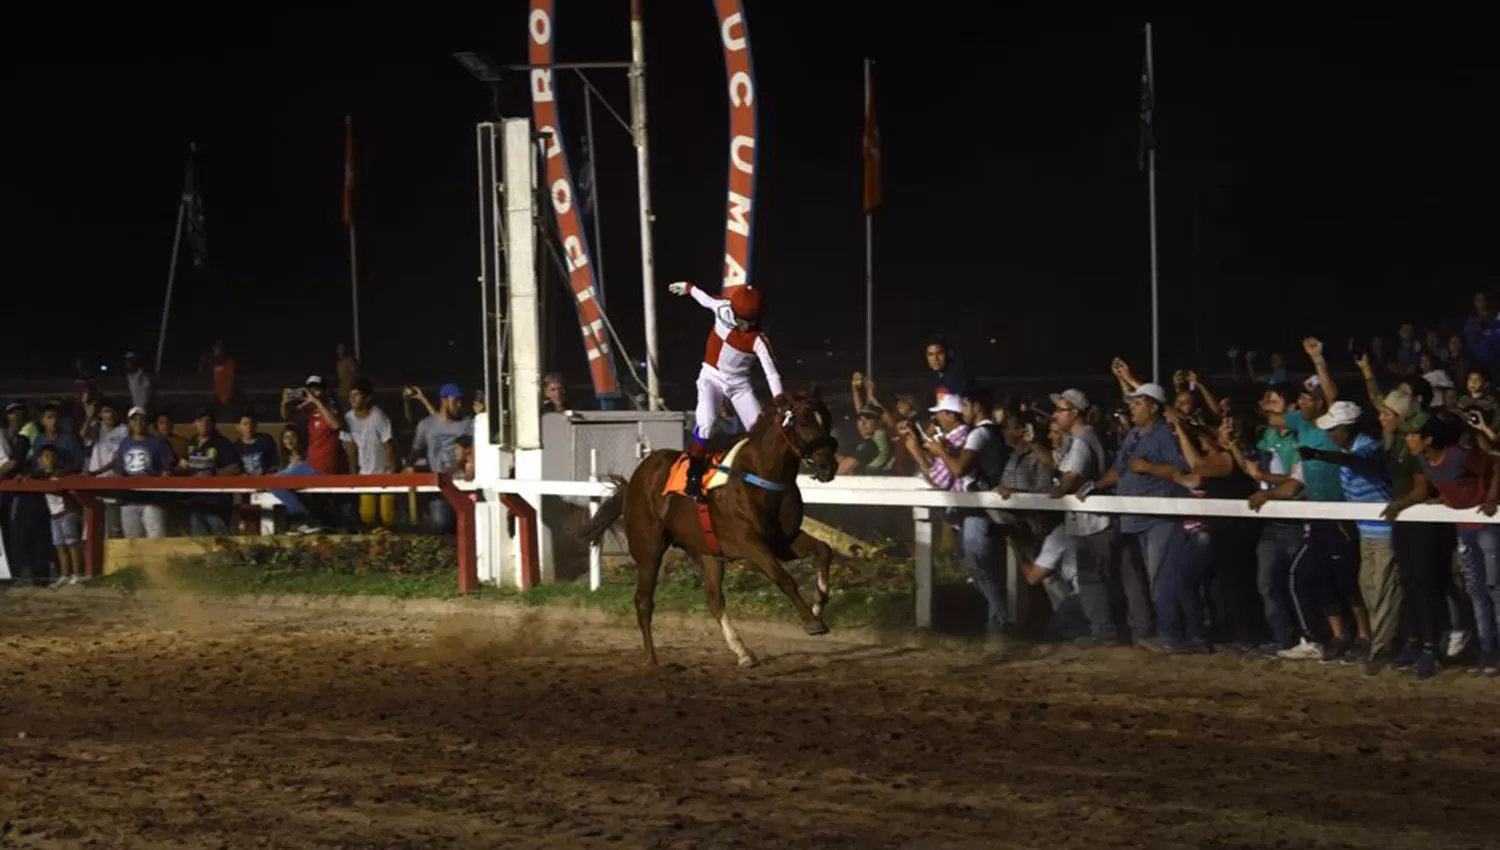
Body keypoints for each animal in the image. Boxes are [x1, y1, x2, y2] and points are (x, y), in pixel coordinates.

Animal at [582, 395, 846, 668]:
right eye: (803, 422)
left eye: (826, 420)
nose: (828, 466)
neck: (760, 476)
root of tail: (635, 479)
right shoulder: (750, 543)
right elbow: (784, 578)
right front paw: (812, 622)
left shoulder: (782, 541)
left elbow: (823, 550)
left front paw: (818, 604)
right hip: (648, 550)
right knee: (644, 601)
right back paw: (652, 660)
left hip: (707, 552)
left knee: (713, 598)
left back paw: (743, 652)